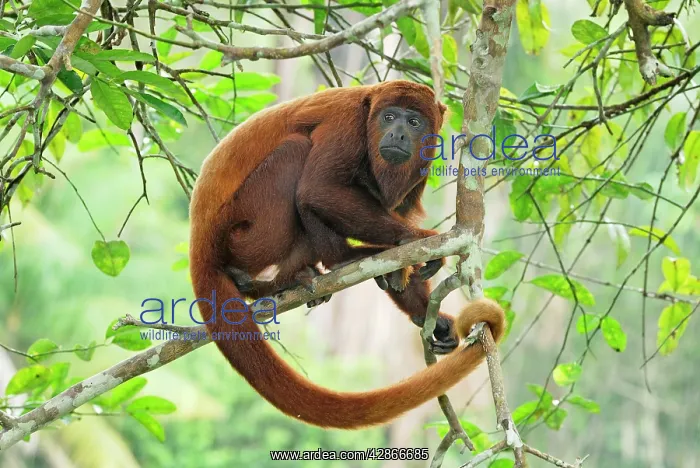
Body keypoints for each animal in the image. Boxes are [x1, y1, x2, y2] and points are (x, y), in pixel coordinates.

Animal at [189, 80, 506, 429]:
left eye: (414, 122)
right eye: (388, 117)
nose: (396, 134)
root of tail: (199, 242)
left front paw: (425, 313)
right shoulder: (347, 123)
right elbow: (318, 189)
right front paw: (416, 238)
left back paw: (284, 281)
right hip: (241, 234)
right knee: (298, 154)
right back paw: (338, 260)